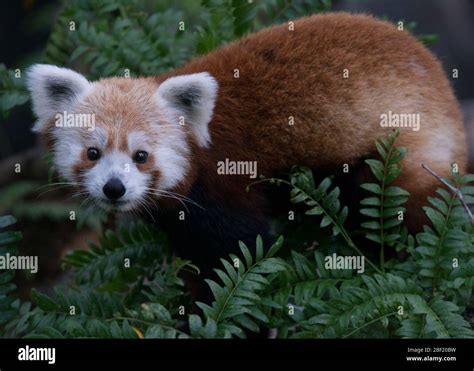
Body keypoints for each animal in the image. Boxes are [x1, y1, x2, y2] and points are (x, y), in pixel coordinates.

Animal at [25, 12, 466, 274]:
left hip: (400, 149)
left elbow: (240, 249)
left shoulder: (223, 184)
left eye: (141, 155)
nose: (114, 188)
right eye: (93, 153)